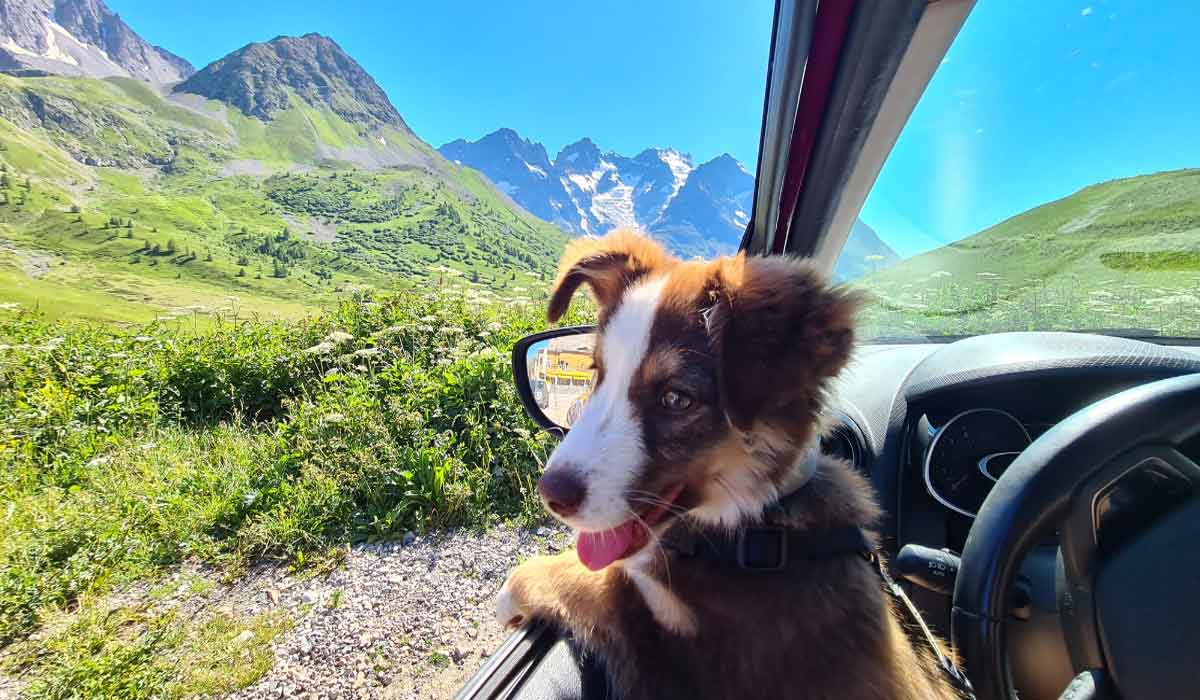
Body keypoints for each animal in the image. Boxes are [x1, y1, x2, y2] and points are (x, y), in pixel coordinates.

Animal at [496, 231, 964, 700]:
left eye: (676, 399)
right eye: (597, 373)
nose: (550, 495)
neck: (762, 531)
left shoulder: (680, 662)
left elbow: (600, 581)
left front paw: (514, 587)